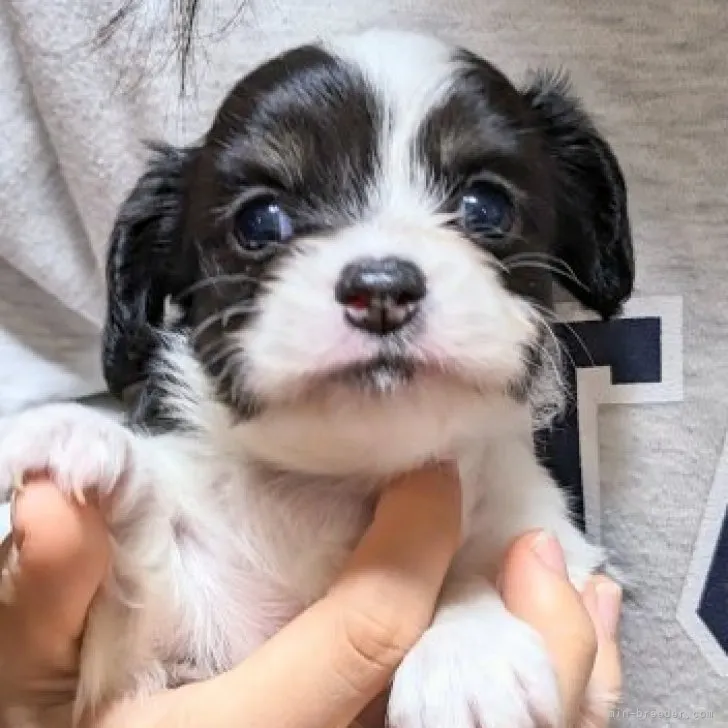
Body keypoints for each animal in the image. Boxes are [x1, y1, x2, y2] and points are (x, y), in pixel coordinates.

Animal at [0, 28, 632, 728]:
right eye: (261, 219)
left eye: (484, 206)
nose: (380, 288)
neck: (341, 483)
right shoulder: (164, 656)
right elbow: (142, 583)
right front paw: (80, 439)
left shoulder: (544, 542)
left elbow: (475, 572)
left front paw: (468, 651)